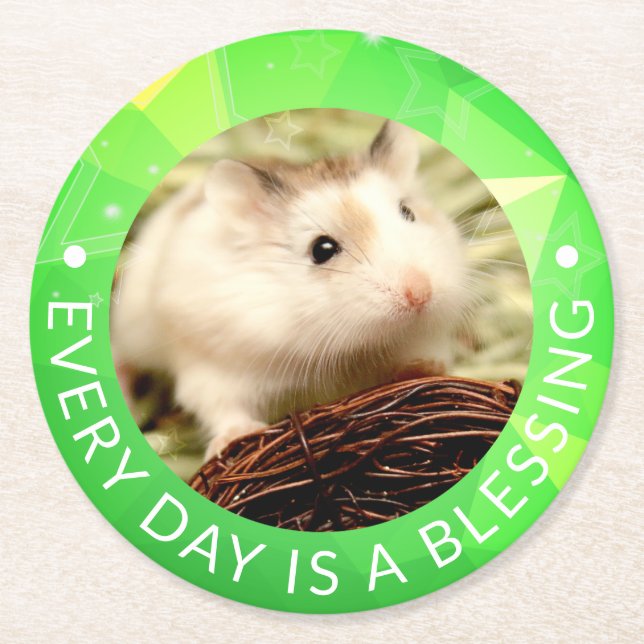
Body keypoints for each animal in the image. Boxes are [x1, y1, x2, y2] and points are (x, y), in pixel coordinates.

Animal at [111, 121, 470, 460]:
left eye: (408, 213)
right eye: (321, 249)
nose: (420, 294)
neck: (349, 347)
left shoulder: (424, 338)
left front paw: (424, 369)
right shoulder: (213, 368)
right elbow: (223, 409)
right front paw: (234, 439)